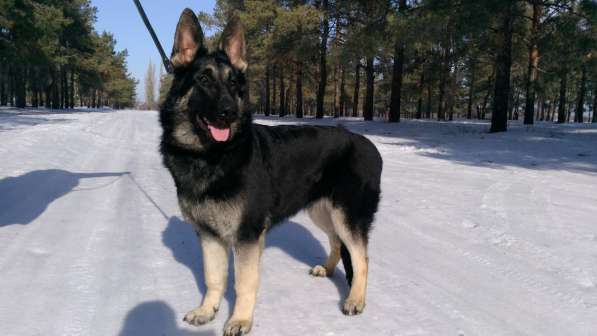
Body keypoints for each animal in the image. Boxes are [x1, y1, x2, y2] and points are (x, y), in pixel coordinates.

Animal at [158, 8, 382, 336]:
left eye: (235, 85)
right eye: (203, 80)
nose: (229, 112)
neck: (208, 155)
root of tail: (369, 145)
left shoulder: (247, 237)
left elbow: (243, 282)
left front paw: (240, 320)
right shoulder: (209, 236)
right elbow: (214, 278)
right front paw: (207, 310)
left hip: (346, 216)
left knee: (361, 257)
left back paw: (355, 300)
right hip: (323, 212)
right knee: (338, 243)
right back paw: (327, 270)